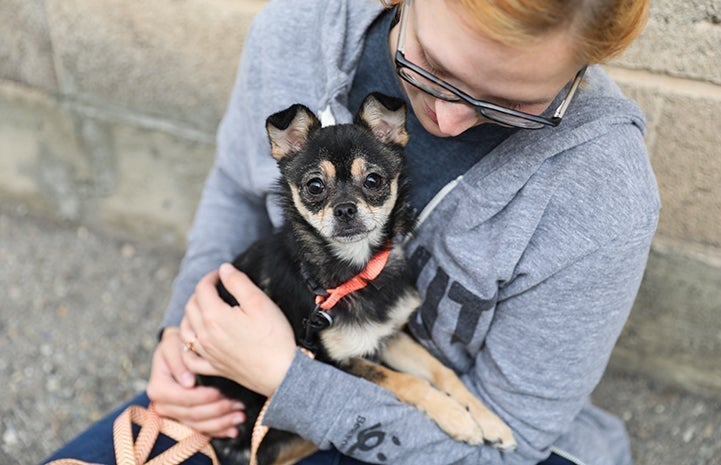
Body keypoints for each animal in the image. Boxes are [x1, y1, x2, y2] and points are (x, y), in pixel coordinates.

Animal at [200, 92, 516, 462]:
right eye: (315, 186)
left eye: (374, 181)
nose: (345, 209)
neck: (354, 272)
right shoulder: (336, 360)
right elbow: (409, 382)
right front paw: (457, 419)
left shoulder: (386, 336)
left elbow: (441, 371)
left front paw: (487, 420)